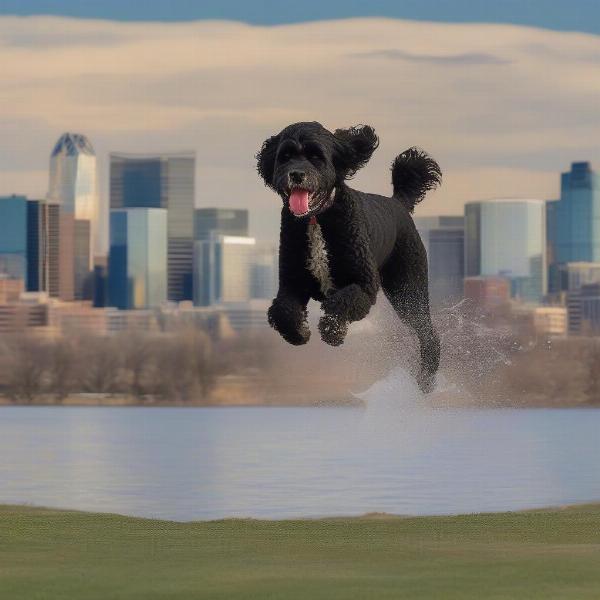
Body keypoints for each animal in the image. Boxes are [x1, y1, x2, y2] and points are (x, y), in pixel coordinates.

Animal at [256, 122, 440, 394]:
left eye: (316, 156)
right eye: (285, 156)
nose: (296, 174)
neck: (316, 218)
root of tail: (398, 202)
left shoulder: (363, 284)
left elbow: (341, 302)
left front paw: (333, 333)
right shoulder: (291, 284)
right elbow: (282, 311)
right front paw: (300, 332)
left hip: (408, 288)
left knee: (428, 333)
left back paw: (426, 380)